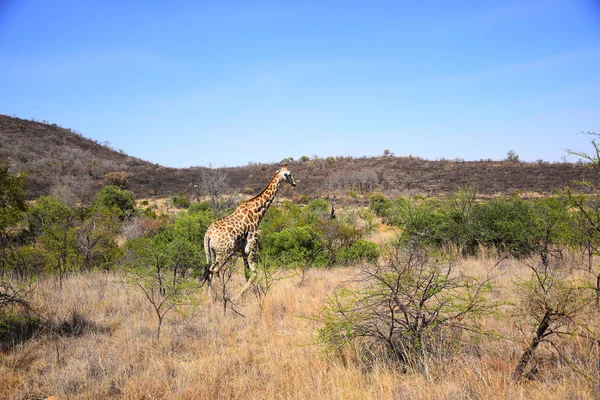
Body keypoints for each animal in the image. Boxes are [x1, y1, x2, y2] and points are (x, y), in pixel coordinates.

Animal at [203, 166, 296, 300]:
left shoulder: (243, 251)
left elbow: (247, 274)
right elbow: (254, 274)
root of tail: (208, 235)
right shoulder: (251, 248)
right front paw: (241, 296)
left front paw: (253, 294)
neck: (257, 212)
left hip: (211, 253)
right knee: (215, 271)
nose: (294, 184)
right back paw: (225, 296)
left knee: (209, 270)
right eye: (289, 174)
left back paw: (209, 297)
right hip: (225, 253)